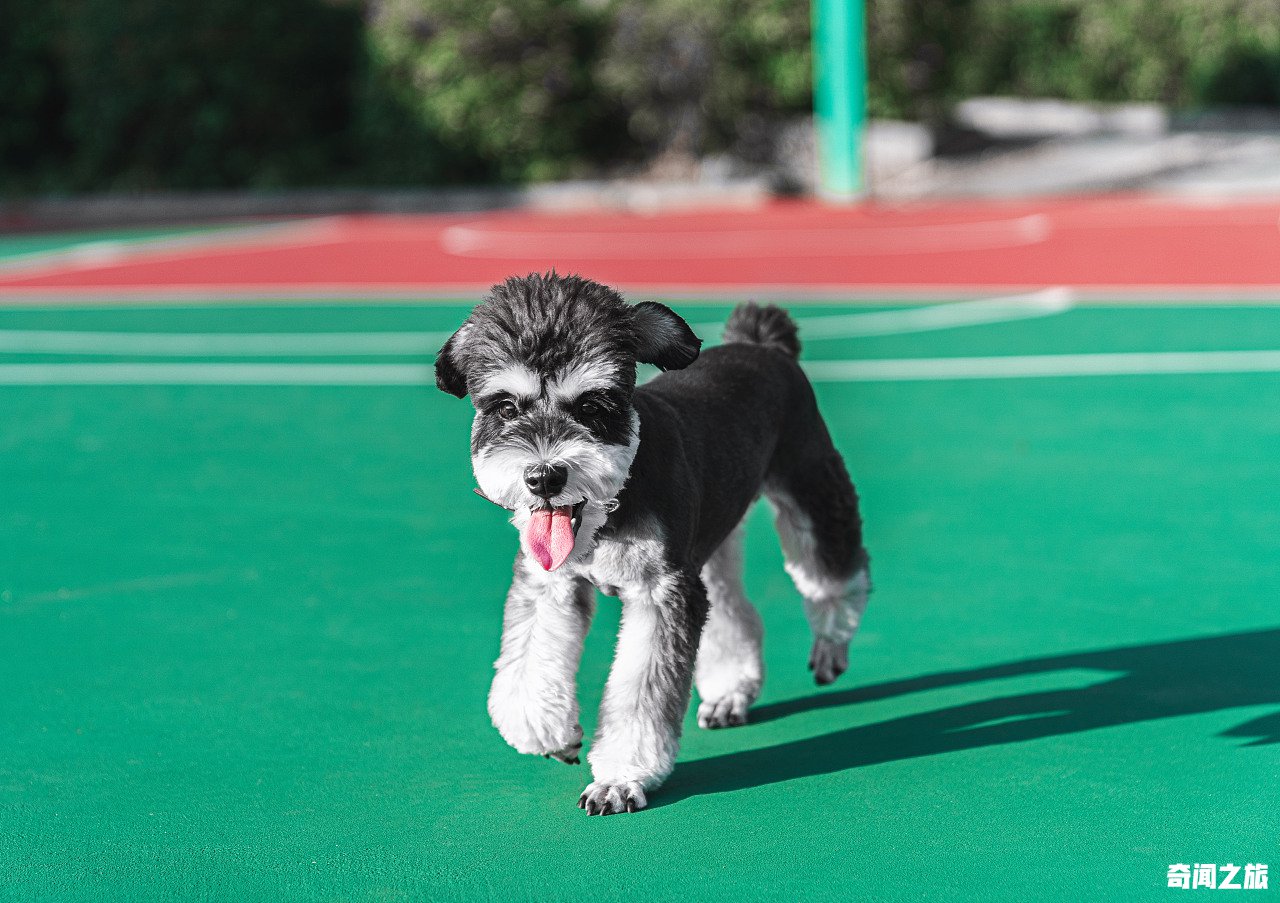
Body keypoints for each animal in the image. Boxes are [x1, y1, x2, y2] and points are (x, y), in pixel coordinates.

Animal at [437, 271, 870, 814]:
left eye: (592, 406)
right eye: (506, 406)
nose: (543, 477)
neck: (613, 504)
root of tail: (761, 345)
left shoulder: (660, 592)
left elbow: (640, 691)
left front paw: (621, 777)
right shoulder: (550, 583)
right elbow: (527, 664)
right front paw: (549, 732)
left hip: (811, 485)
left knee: (837, 574)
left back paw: (831, 644)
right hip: (710, 547)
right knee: (733, 611)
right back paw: (730, 691)